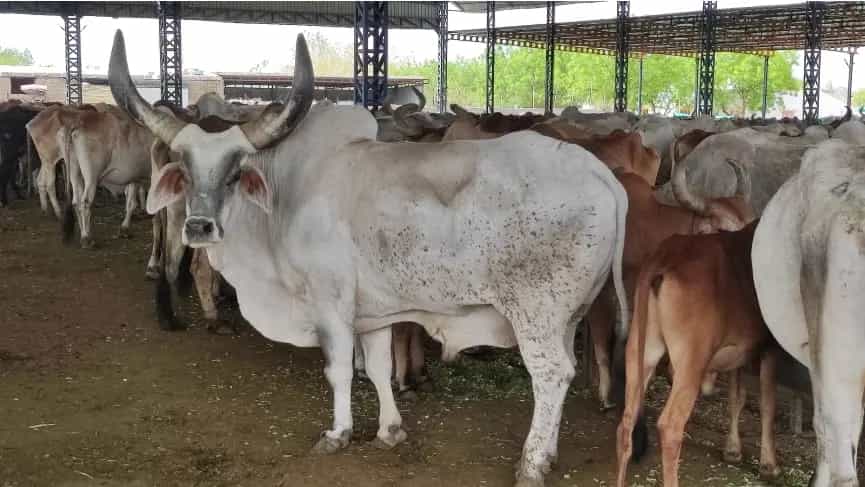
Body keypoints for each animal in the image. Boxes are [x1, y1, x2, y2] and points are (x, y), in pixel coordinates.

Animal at [111, 30, 629, 487]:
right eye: (183, 167)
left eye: (236, 171)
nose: (199, 227)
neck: (287, 196)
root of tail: (603, 175)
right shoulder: (374, 313)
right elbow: (378, 369)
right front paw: (389, 430)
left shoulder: (330, 306)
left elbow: (339, 371)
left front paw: (338, 433)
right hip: (567, 315)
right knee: (563, 373)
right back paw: (550, 453)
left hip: (536, 315)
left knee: (551, 375)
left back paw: (532, 463)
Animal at [614, 222, 780, 487]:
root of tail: (665, 257)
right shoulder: (771, 346)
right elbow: (768, 404)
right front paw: (769, 464)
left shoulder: (738, 350)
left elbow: (737, 396)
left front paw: (732, 450)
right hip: (691, 360)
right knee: (670, 426)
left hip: (641, 347)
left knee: (626, 423)